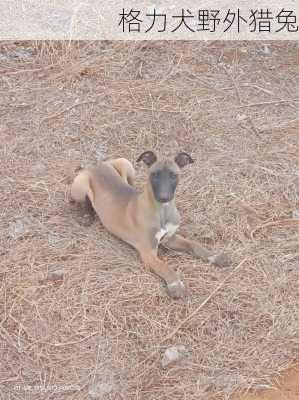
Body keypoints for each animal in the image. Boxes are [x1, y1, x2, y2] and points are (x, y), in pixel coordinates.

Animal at [71, 152, 231, 298]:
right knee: (83, 201)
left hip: (126, 164)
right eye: (155, 174)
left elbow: (194, 244)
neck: (162, 211)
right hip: (79, 186)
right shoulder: (148, 253)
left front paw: (215, 256)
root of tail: (96, 165)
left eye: (174, 175)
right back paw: (86, 216)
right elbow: (165, 267)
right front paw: (176, 285)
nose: (164, 197)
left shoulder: (169, 239)